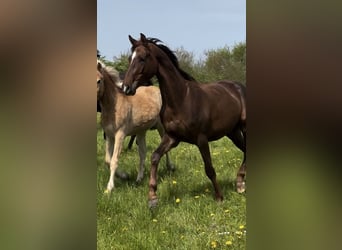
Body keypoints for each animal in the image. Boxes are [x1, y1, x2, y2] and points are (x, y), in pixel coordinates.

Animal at [98, 60, 174, 191]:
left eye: (99, 80)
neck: (113, 105)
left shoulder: (120, 135)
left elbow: (114, 160)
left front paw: (110, 187)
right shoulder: (109, 135)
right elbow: (108, 160)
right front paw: (125, 176)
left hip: (160, 127)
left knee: (164, 147)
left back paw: (169, 167)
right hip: (141, 132)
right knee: (142, 153)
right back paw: (139, 178)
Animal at [123, 33, 246, 207]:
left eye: (143, 58)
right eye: (130, 58)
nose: (126, 88)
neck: (182, 99)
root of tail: (239, 87)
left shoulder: (201, 139)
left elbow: (209, 168)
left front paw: (219, 197)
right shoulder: (172, 138)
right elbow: (154, 157)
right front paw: (152, 198)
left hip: (244, 127)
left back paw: (240, 184)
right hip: (232, 132)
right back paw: (240, 182)